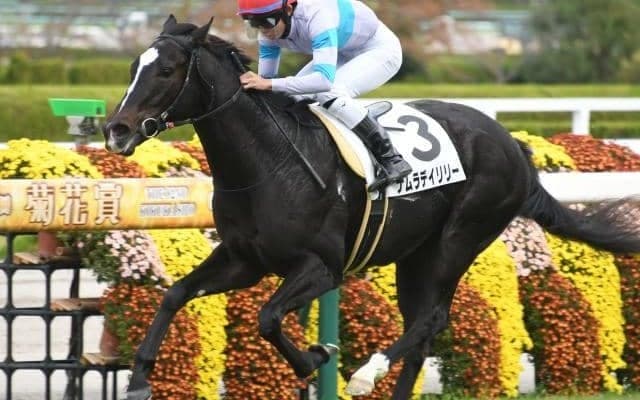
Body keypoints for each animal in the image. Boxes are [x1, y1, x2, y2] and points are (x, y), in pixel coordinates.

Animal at [103, 16, 640, 400]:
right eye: (131, 68)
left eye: (166, 70)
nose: (117, 130)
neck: (268, 164)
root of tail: (516, 150)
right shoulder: (243, 260)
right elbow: (175, 295)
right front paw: (139, 379)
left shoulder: (322, 268)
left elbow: (268, 317)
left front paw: (317, 357)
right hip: (415, 256)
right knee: (422, 330)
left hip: (459, 239)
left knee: (431, 319)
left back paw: (367, 373)